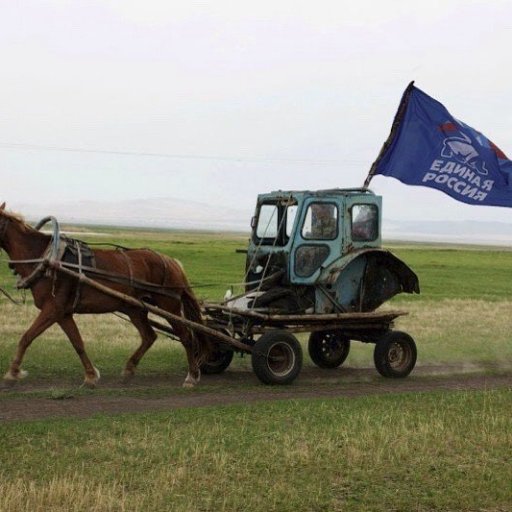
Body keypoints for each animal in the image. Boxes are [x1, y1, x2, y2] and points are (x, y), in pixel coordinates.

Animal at [0, 204, 212, 388]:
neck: (47, 257)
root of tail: (172, 262)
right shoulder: (63, 313)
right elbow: (77, 343)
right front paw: (91, 376)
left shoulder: (53, 309)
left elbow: (27, 337)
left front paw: (12, 373)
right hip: (134, 308)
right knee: (149, 336)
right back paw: (128, 370)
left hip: (169, 305)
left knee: (187, 337)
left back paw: (192, 376)